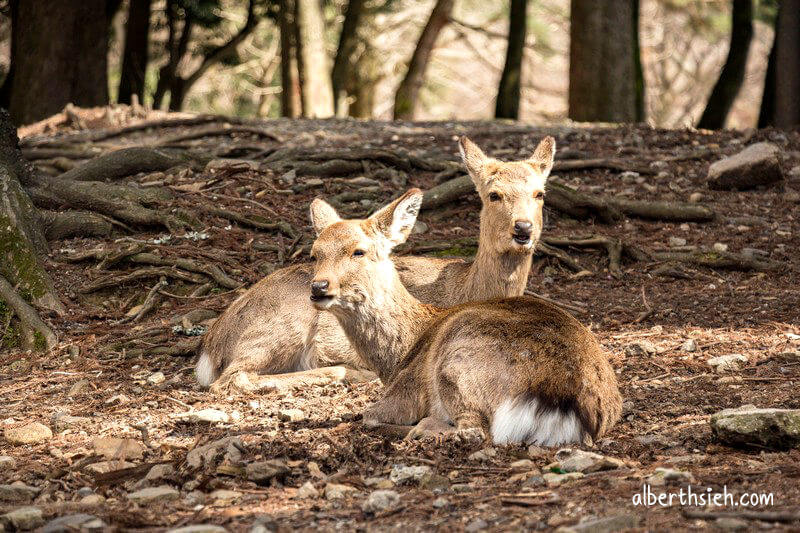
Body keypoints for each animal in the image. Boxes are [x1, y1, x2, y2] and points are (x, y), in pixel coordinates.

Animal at [196, 135, 556, 392]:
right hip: (283, 325)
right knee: (232, 378)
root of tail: (212, 342)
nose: (523, 229)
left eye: (539, 193)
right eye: (493, 194)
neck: (464, 288)